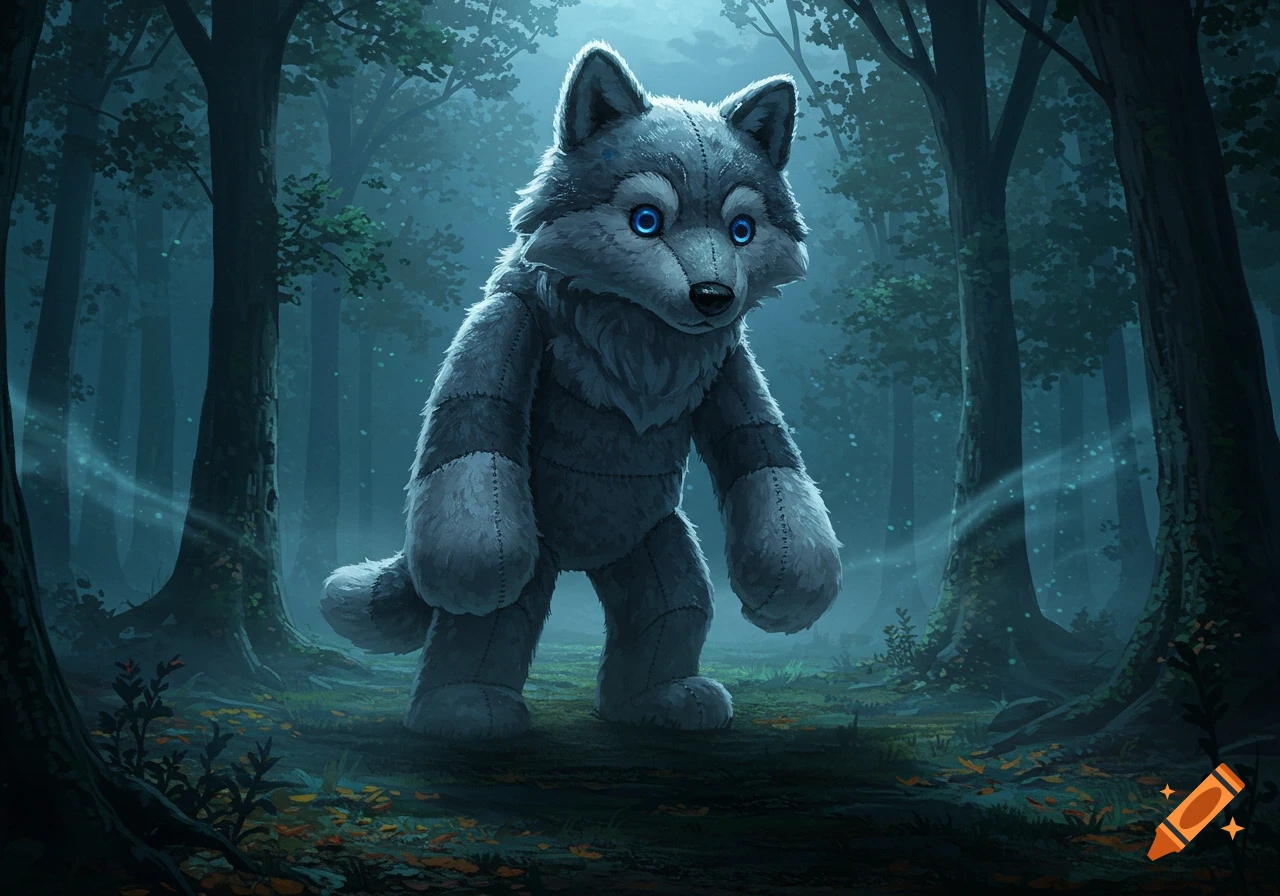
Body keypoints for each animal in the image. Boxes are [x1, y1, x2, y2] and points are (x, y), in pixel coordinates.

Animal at [321, 42, 842, 740]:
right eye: (646, 220)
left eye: (742, 230)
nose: (713, 296)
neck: (641, 340)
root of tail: (581, 556)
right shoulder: (506, 326)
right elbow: (470, 430)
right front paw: (470, 556)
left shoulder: (730, 371)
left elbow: (766, 454)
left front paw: (792, 574)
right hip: (536, 540)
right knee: (495, 619)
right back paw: (465, 708)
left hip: (656, 542)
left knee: (675, 607)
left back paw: (663, 699)